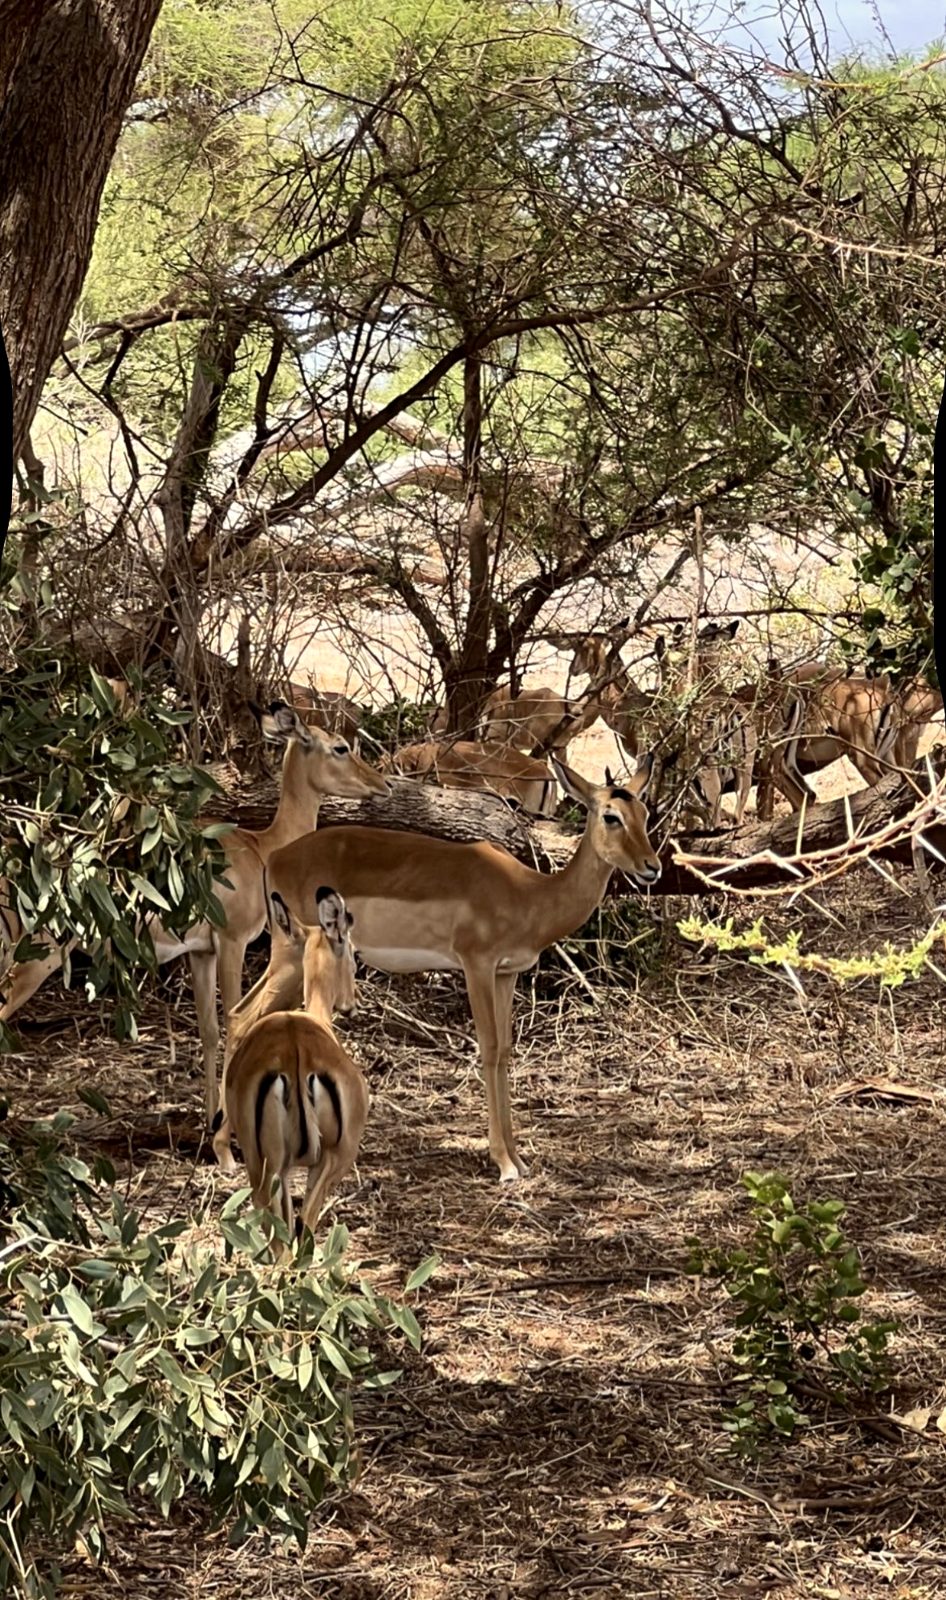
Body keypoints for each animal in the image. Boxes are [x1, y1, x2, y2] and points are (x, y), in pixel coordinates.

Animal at [0, 701, 388, 1124]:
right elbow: (235, 1020)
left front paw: (209, 1114)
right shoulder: (232, 942)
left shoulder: (201, 953)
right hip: (34, 963)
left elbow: (209, 1028)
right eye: (339, 748)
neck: (261, 850)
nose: (382, 783)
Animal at [218, 887, 368, 1254]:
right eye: (354, 955)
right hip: (312, 1164)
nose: (354, 1003)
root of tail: (295, 1054)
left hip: (273, 1169)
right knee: (294, 1243)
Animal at [264, 755, 662, 1183]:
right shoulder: (477, 966)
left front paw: (518, 1158)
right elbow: (488, 1047)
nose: (652, 868)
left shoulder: (507, 973)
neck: (529, 894)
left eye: (643, 812)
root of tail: (275, 859)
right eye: (610, 816)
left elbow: (504, 1051)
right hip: (303, 954)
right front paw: (504, 1163)